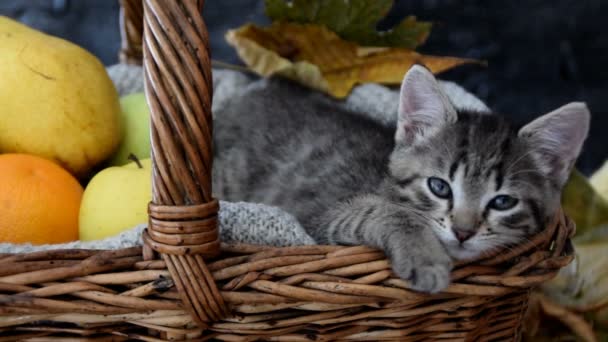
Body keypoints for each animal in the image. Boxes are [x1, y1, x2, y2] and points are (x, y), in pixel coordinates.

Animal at [213, 65, 588, 292]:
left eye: (503, 201)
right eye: (439, 187)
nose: (463, 232)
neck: (384, 183)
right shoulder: (317, 216)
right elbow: (388, 212)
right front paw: (426, 258)